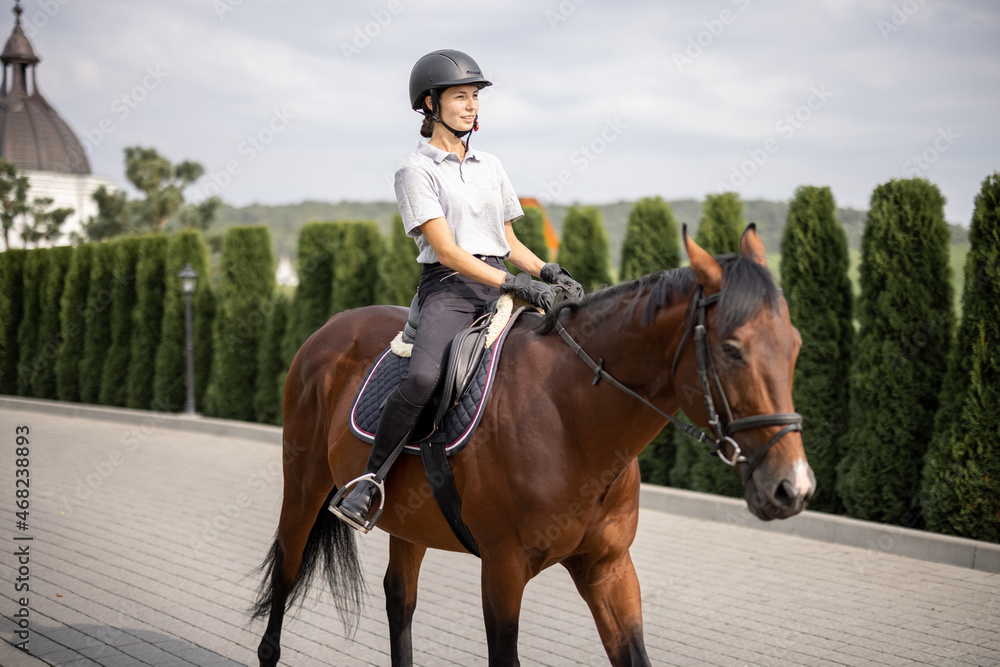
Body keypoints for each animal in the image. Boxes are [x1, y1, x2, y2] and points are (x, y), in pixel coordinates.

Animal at [250, 226, 812, 667]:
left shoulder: (609, 568)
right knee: (287, 573)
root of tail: (328, 329)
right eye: (732, 350)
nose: (793, 489)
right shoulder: (503, 570)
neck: (570, 420)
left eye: (795, 344)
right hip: (304, 488)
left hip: (409, 519)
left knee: (399, 598)